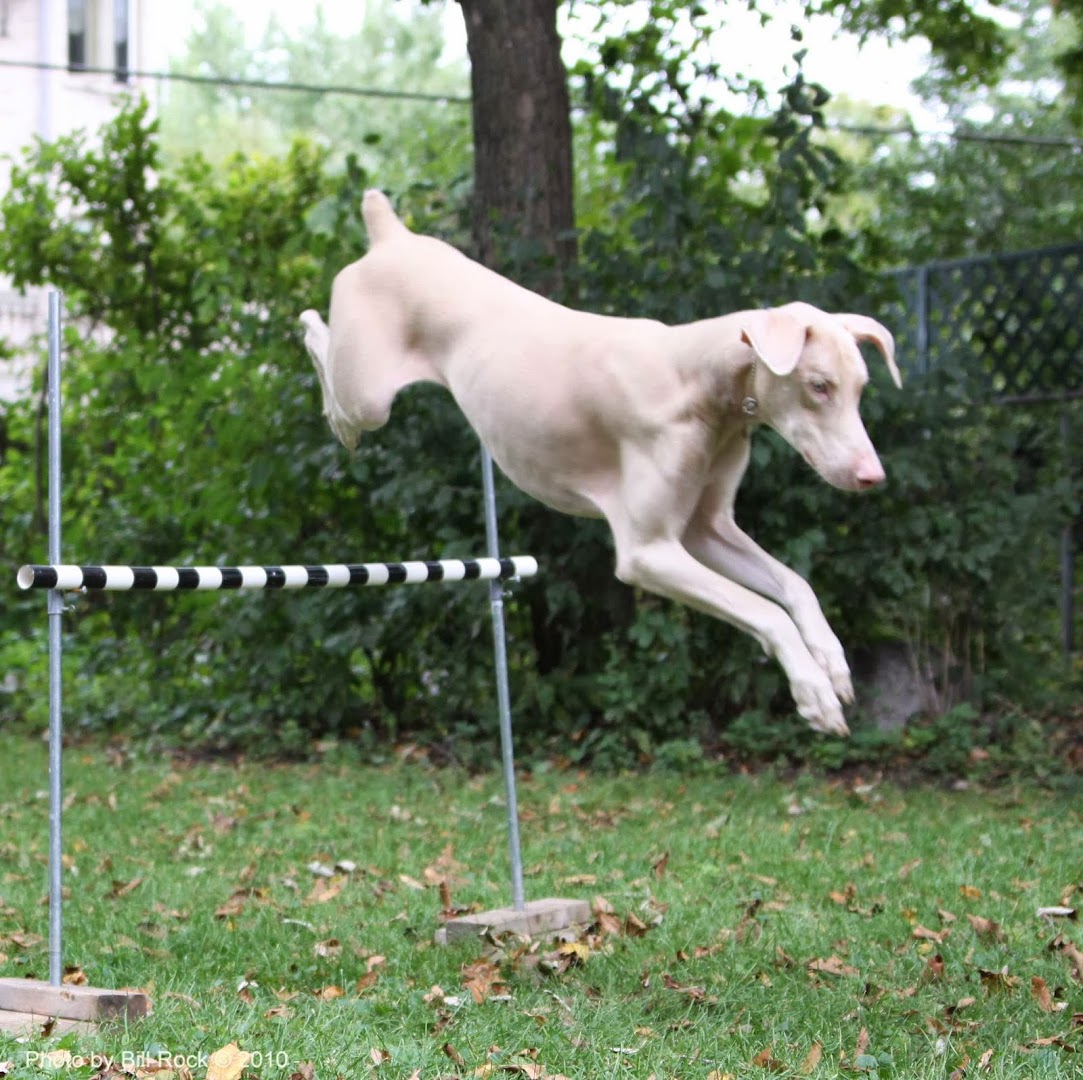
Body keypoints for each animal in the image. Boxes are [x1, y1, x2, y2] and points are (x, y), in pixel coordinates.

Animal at [301, 191, 901, 732]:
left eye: (861, 388)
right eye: (819, 386)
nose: (873, 476)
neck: (699, 382)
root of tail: (391, 235)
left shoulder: (705, 530)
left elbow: (794, 585)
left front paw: (832, 662)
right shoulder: (649, 553)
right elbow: (765, 611)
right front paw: (814, 694)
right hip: (367, 393)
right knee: (326, 360)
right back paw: (315, 354)